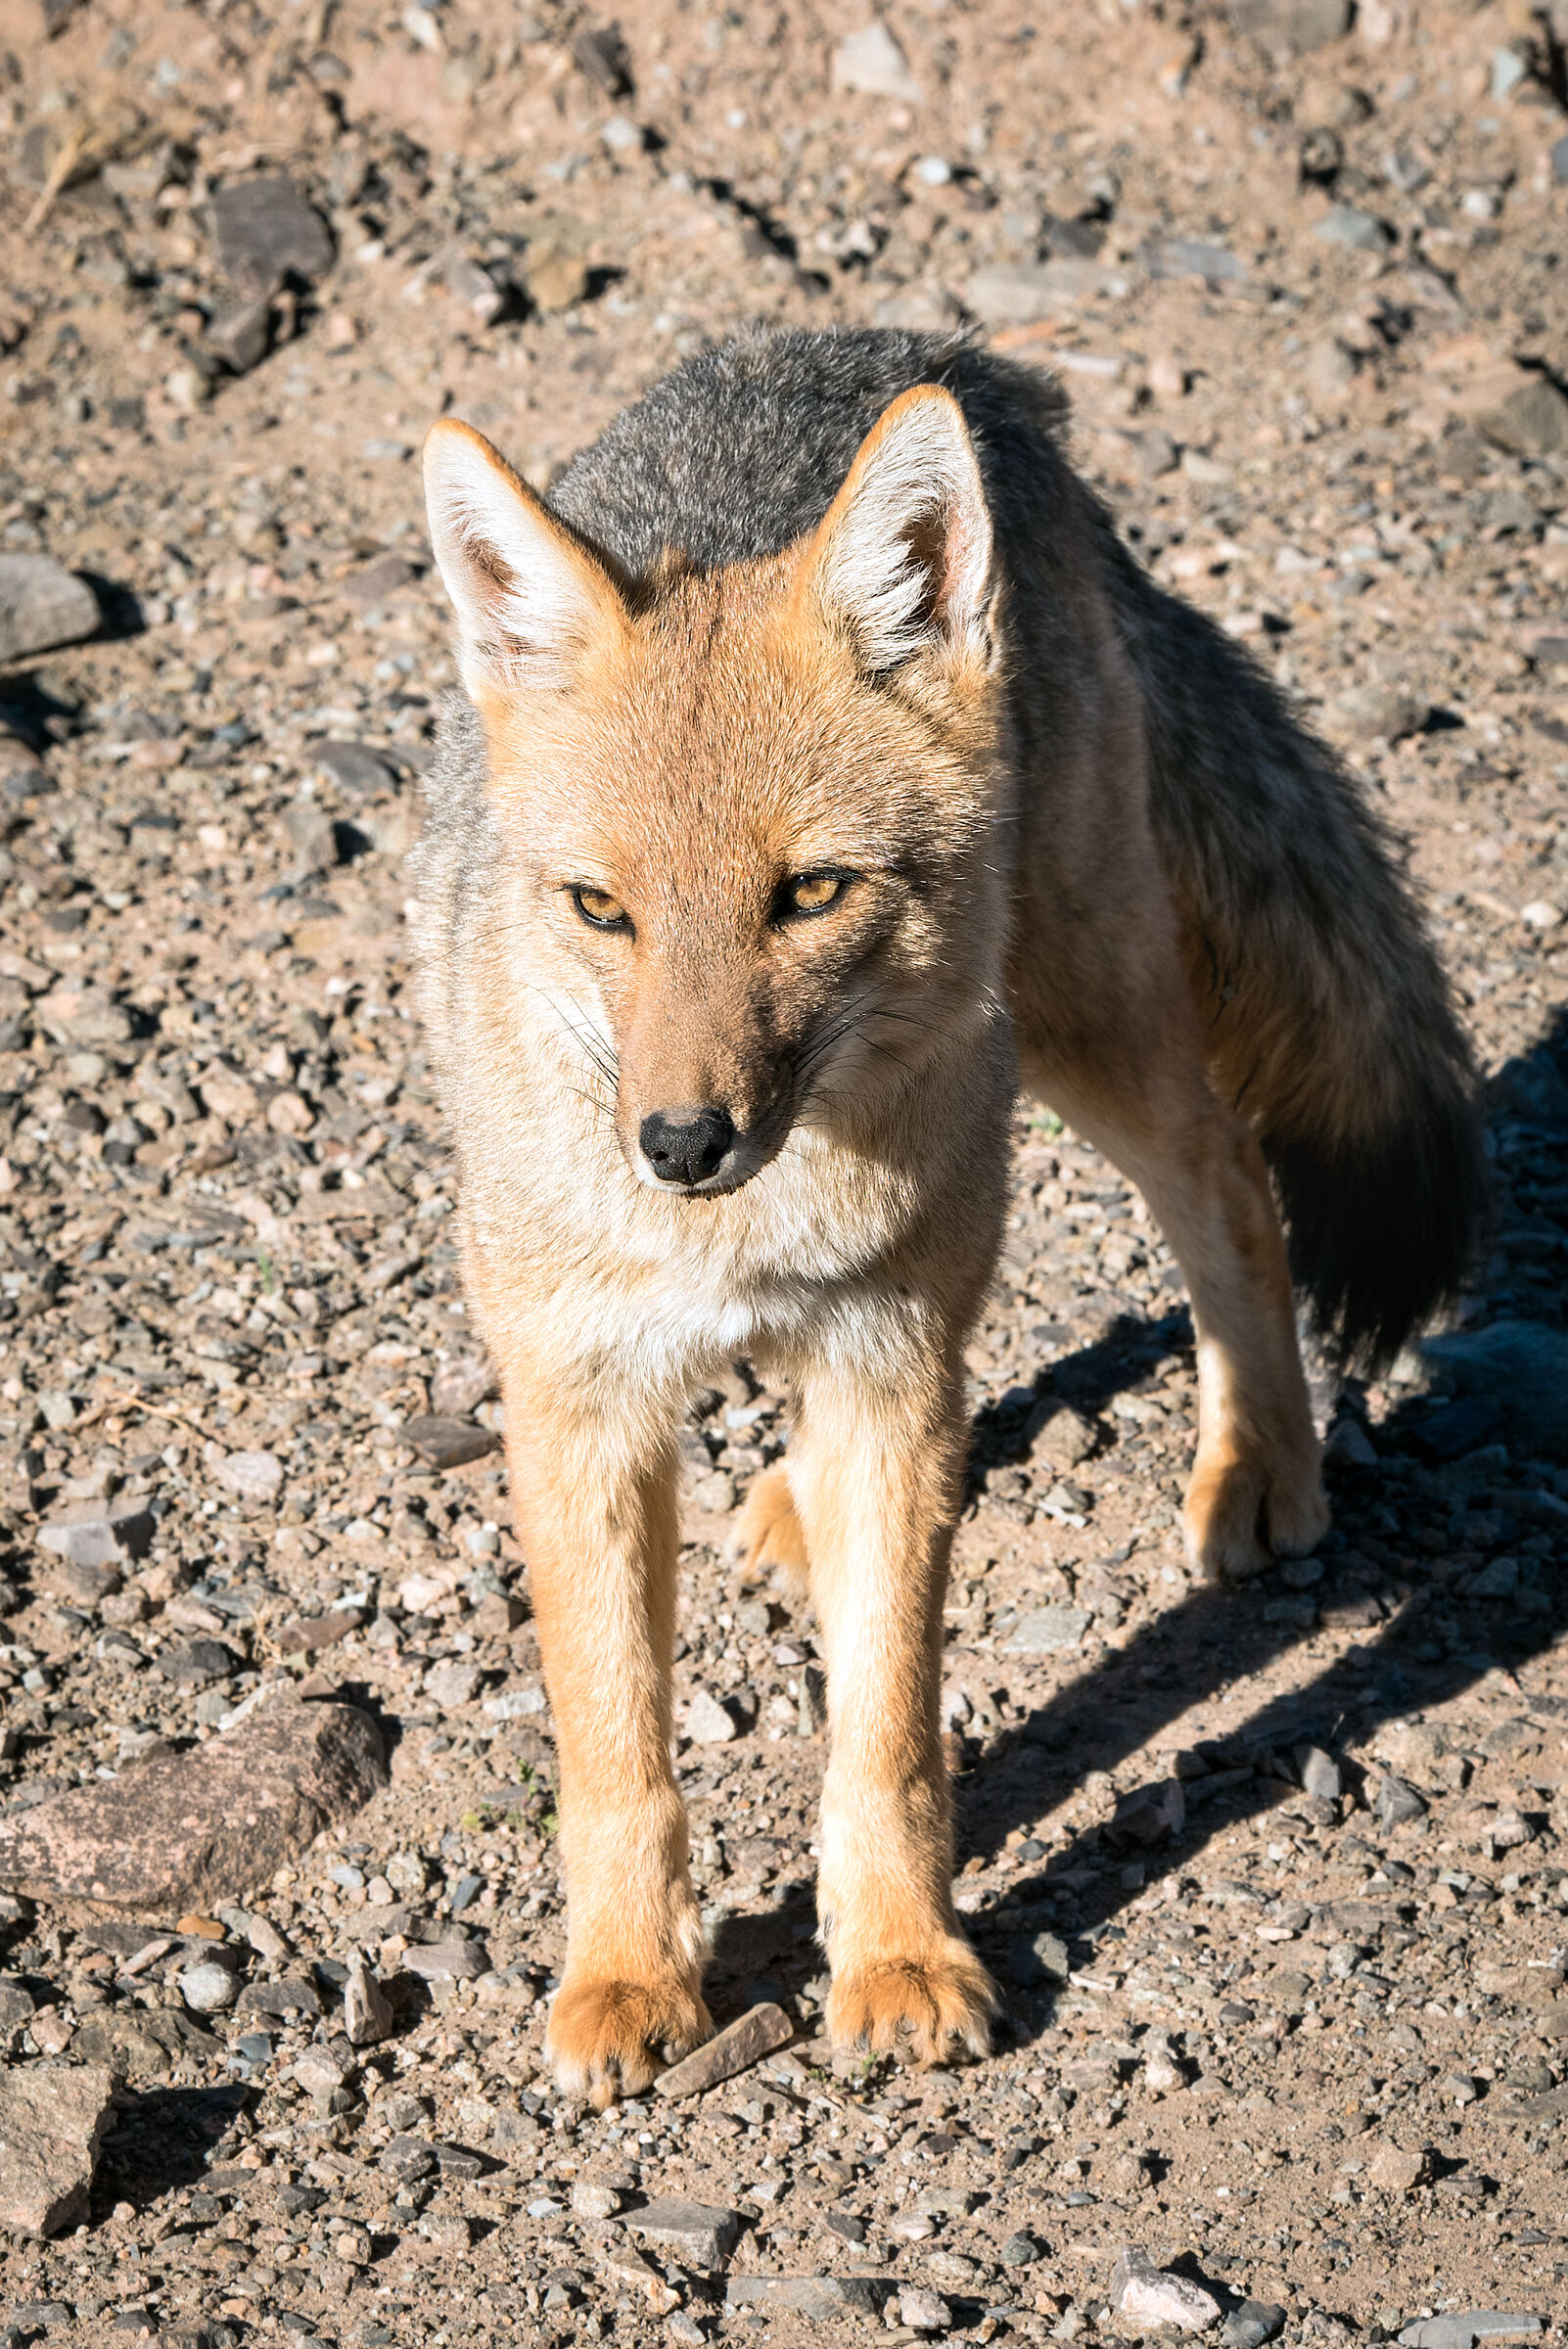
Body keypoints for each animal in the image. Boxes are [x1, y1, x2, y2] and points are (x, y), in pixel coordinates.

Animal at [412, 325, 1484, 2106]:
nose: (680, 1141)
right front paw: (628, 1976)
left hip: (1083, 1029)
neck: (747, 1233)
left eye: (807, 894)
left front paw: (902, 1958)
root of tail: (946, 362)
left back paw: (1261, 1465)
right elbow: (616, 1748)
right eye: (599, 910)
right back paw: (791, 1499)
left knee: (1229, 1188)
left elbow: (889, 1736)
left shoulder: (895, 1370)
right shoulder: (579, 1406)